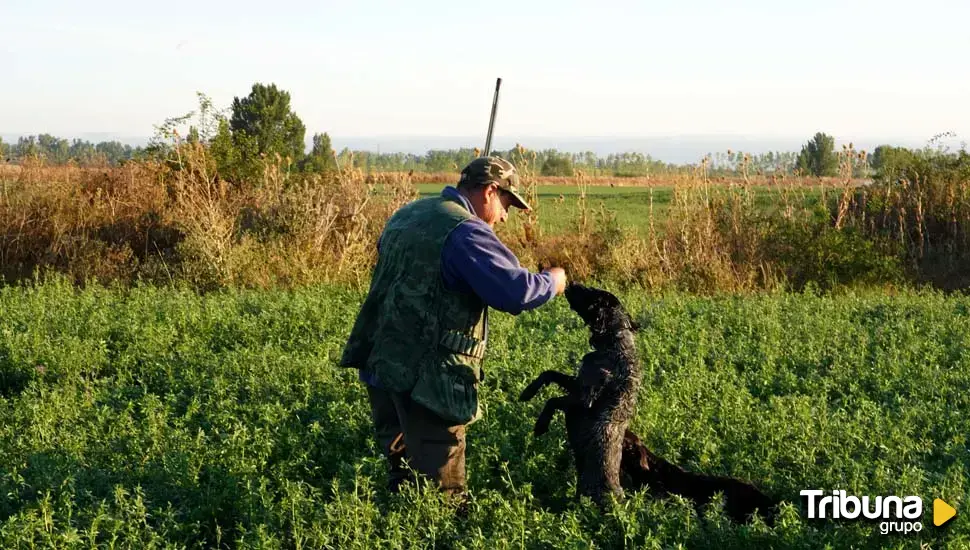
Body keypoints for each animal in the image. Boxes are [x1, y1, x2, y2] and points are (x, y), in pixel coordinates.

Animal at [520, 284, 640, 508]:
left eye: (591, 292)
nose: (571, 284)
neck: (614, 344)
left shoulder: (584, 399)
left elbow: (552, 400)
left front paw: (541, 424)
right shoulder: (577, 384)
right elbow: (549, 373)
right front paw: (528, 391)